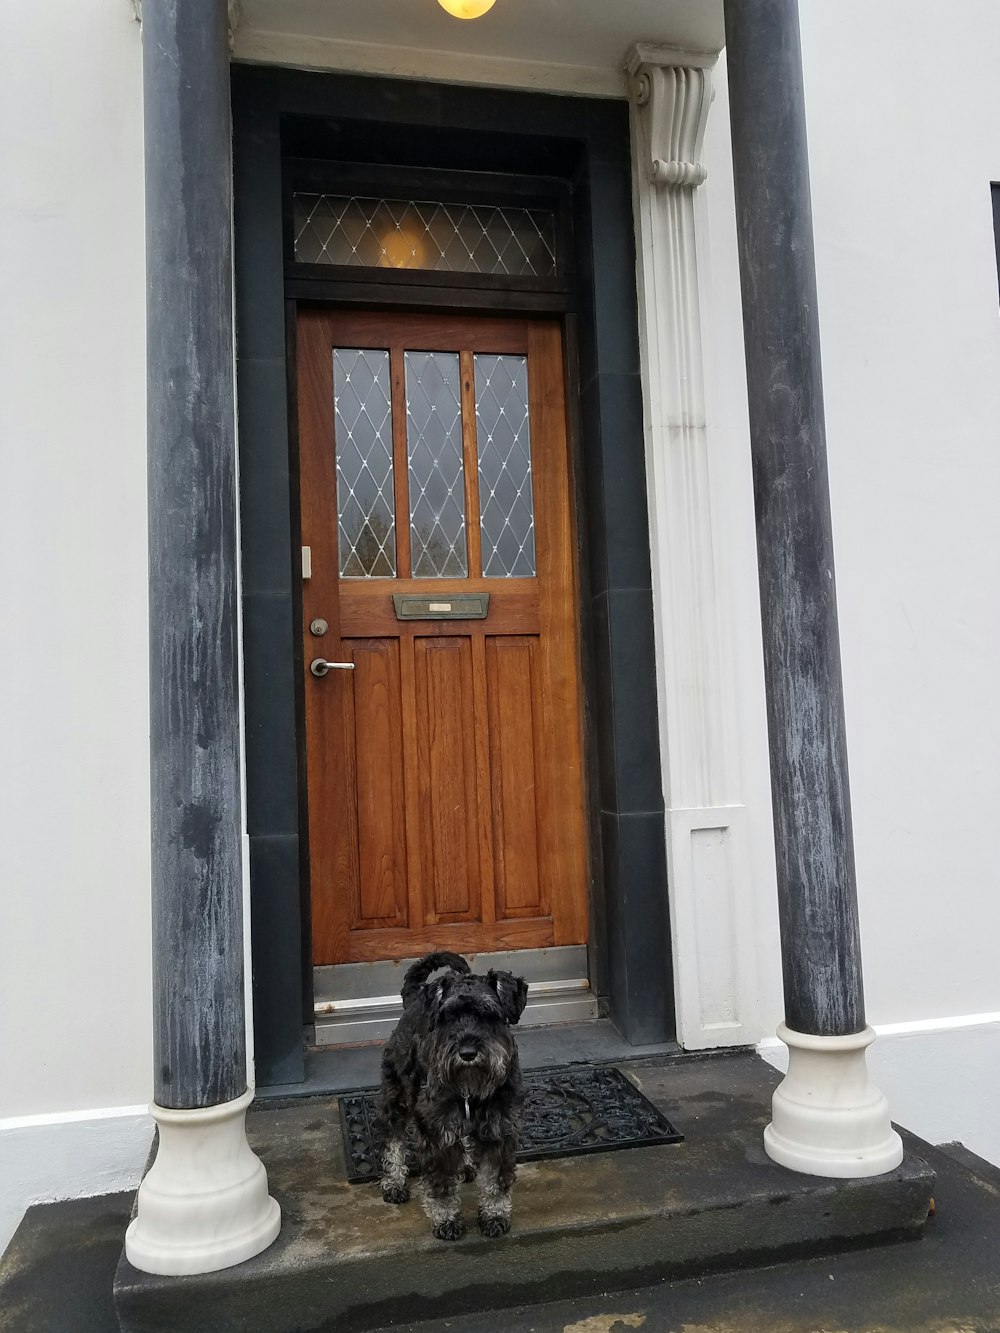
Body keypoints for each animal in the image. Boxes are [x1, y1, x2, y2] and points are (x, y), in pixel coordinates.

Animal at [376, 949, 533, 1237]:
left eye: (489, 1014)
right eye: (448, 1017)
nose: (467, 1053)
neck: (472, 1086)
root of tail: (415, 998)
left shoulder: (500, 1129)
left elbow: (496, 1180)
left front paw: (494, 1215)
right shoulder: (435, 1130)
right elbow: (442, 1186)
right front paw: (446, 1220)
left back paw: (468, 1166)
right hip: (398, 1095)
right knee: (392, 1138)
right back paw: (394, 1182)